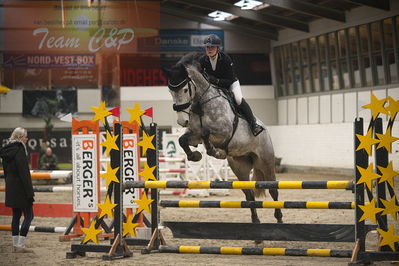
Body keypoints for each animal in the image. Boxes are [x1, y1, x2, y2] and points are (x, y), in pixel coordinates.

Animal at [163, 53, 284, 227]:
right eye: (170, 91)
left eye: (185, 89)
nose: (181, 121)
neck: (201, 103)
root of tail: (266, 130)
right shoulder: (194, 135)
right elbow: (183, 140)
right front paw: (195, 156)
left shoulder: (224, 131)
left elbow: (206, 132)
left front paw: (215, 151)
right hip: (240, 167)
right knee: (249, 194)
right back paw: (256, 225)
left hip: (266, 162)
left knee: (273, 190)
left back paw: (279, 220)